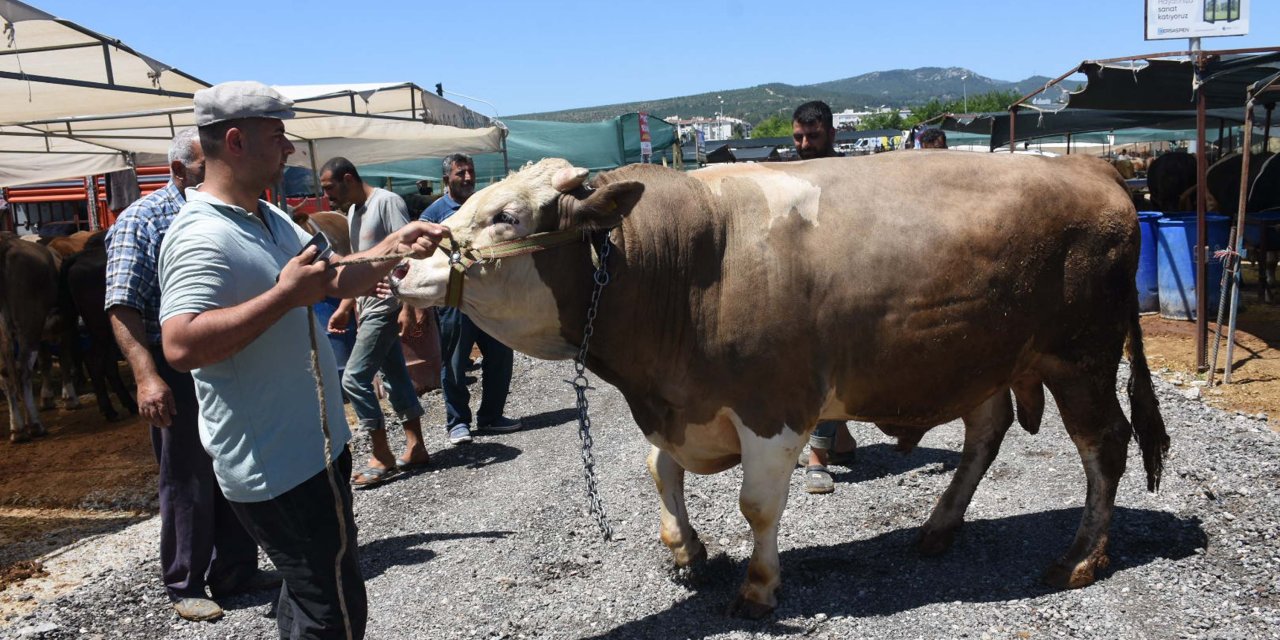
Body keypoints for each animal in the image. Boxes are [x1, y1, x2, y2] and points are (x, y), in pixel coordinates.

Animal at [389, 152, 1172, 616]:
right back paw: (939, 529)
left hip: (1081, 358)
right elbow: (658, 469)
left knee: (1105, 446)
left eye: (505, 216)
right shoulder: (680, 404)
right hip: (982, 354)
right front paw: (686, 551)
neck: (679, 263)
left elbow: (758, 504)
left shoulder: (775, 404)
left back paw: (1080, 557)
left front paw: (759, 588)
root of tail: (1092, 166)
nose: (403, 265)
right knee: (987, 434)